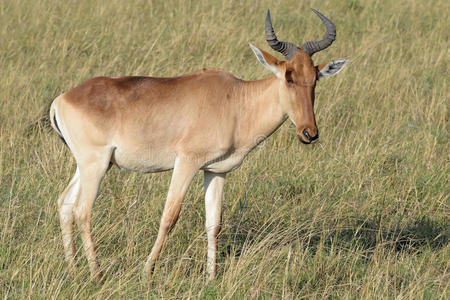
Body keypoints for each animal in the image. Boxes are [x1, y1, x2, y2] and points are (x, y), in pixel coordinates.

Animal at [50, 9, 348, 282]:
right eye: (288, 76)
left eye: (315, 78)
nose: (309, 133)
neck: (236, 99)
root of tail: (62, 100)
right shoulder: (186, 162)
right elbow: (169, 216)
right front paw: (148, 272)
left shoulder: (216, 171)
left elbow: (213, 223)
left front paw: (211, 277)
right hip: (96, 164)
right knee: (82, 211)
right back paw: (96, 274)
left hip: (91, 165)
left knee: (65, 203)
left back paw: (72, 268)